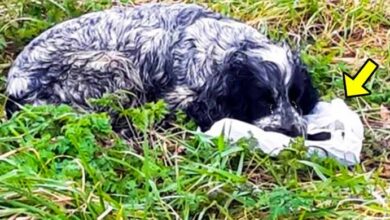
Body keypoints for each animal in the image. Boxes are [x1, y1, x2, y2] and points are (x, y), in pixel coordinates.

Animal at [4, 3, 318, 137]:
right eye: (263, 101)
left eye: (295, 98)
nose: (293, 131)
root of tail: (14, 86)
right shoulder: (181, 97)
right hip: (115, 66)